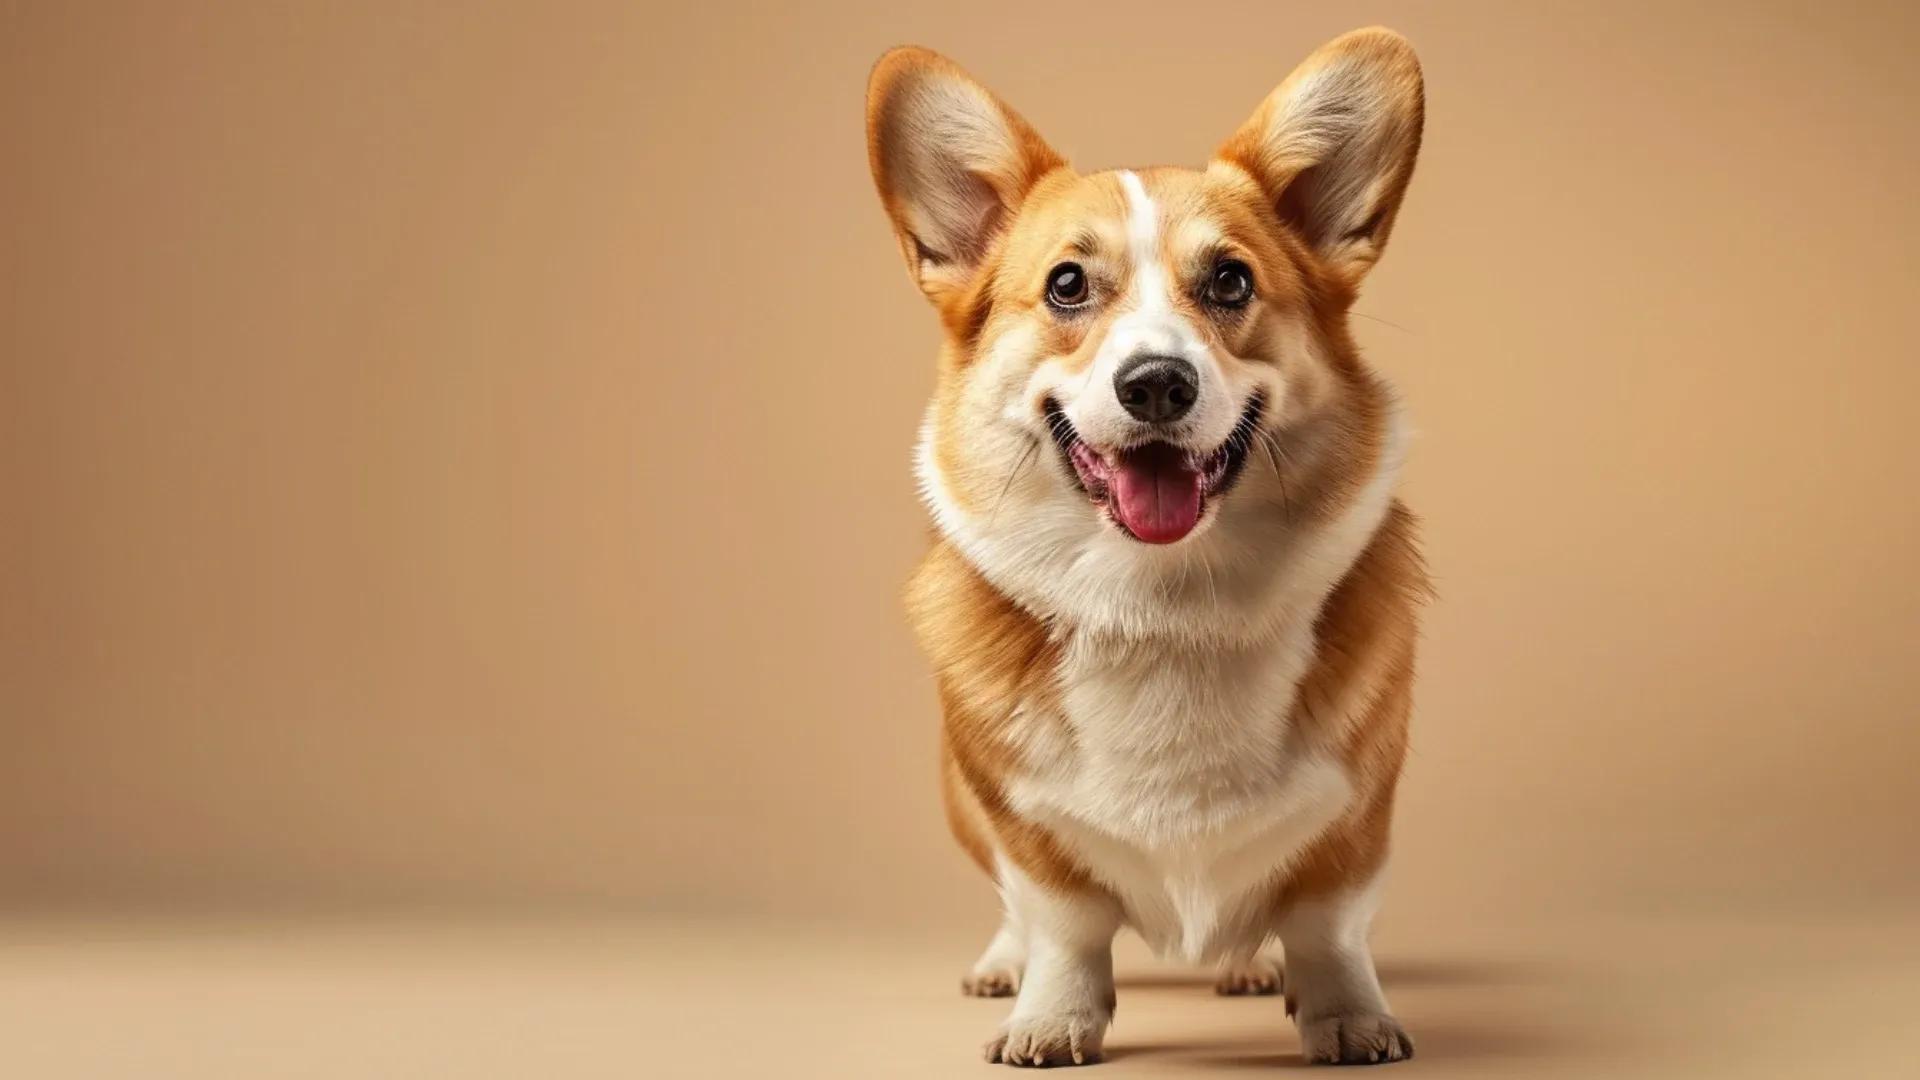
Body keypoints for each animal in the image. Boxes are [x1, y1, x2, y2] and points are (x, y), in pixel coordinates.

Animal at [871, 27, 1428, 1068]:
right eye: (1066, 284)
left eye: (1231, 280)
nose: (1158, 383)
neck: (1164, 606)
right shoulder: (1022, 825)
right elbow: (1061, 922)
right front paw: (1050, 1019)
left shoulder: (1358, 812)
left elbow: (1328, 924)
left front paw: (1347, 1016)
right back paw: (1003, 966)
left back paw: (1249, 965)